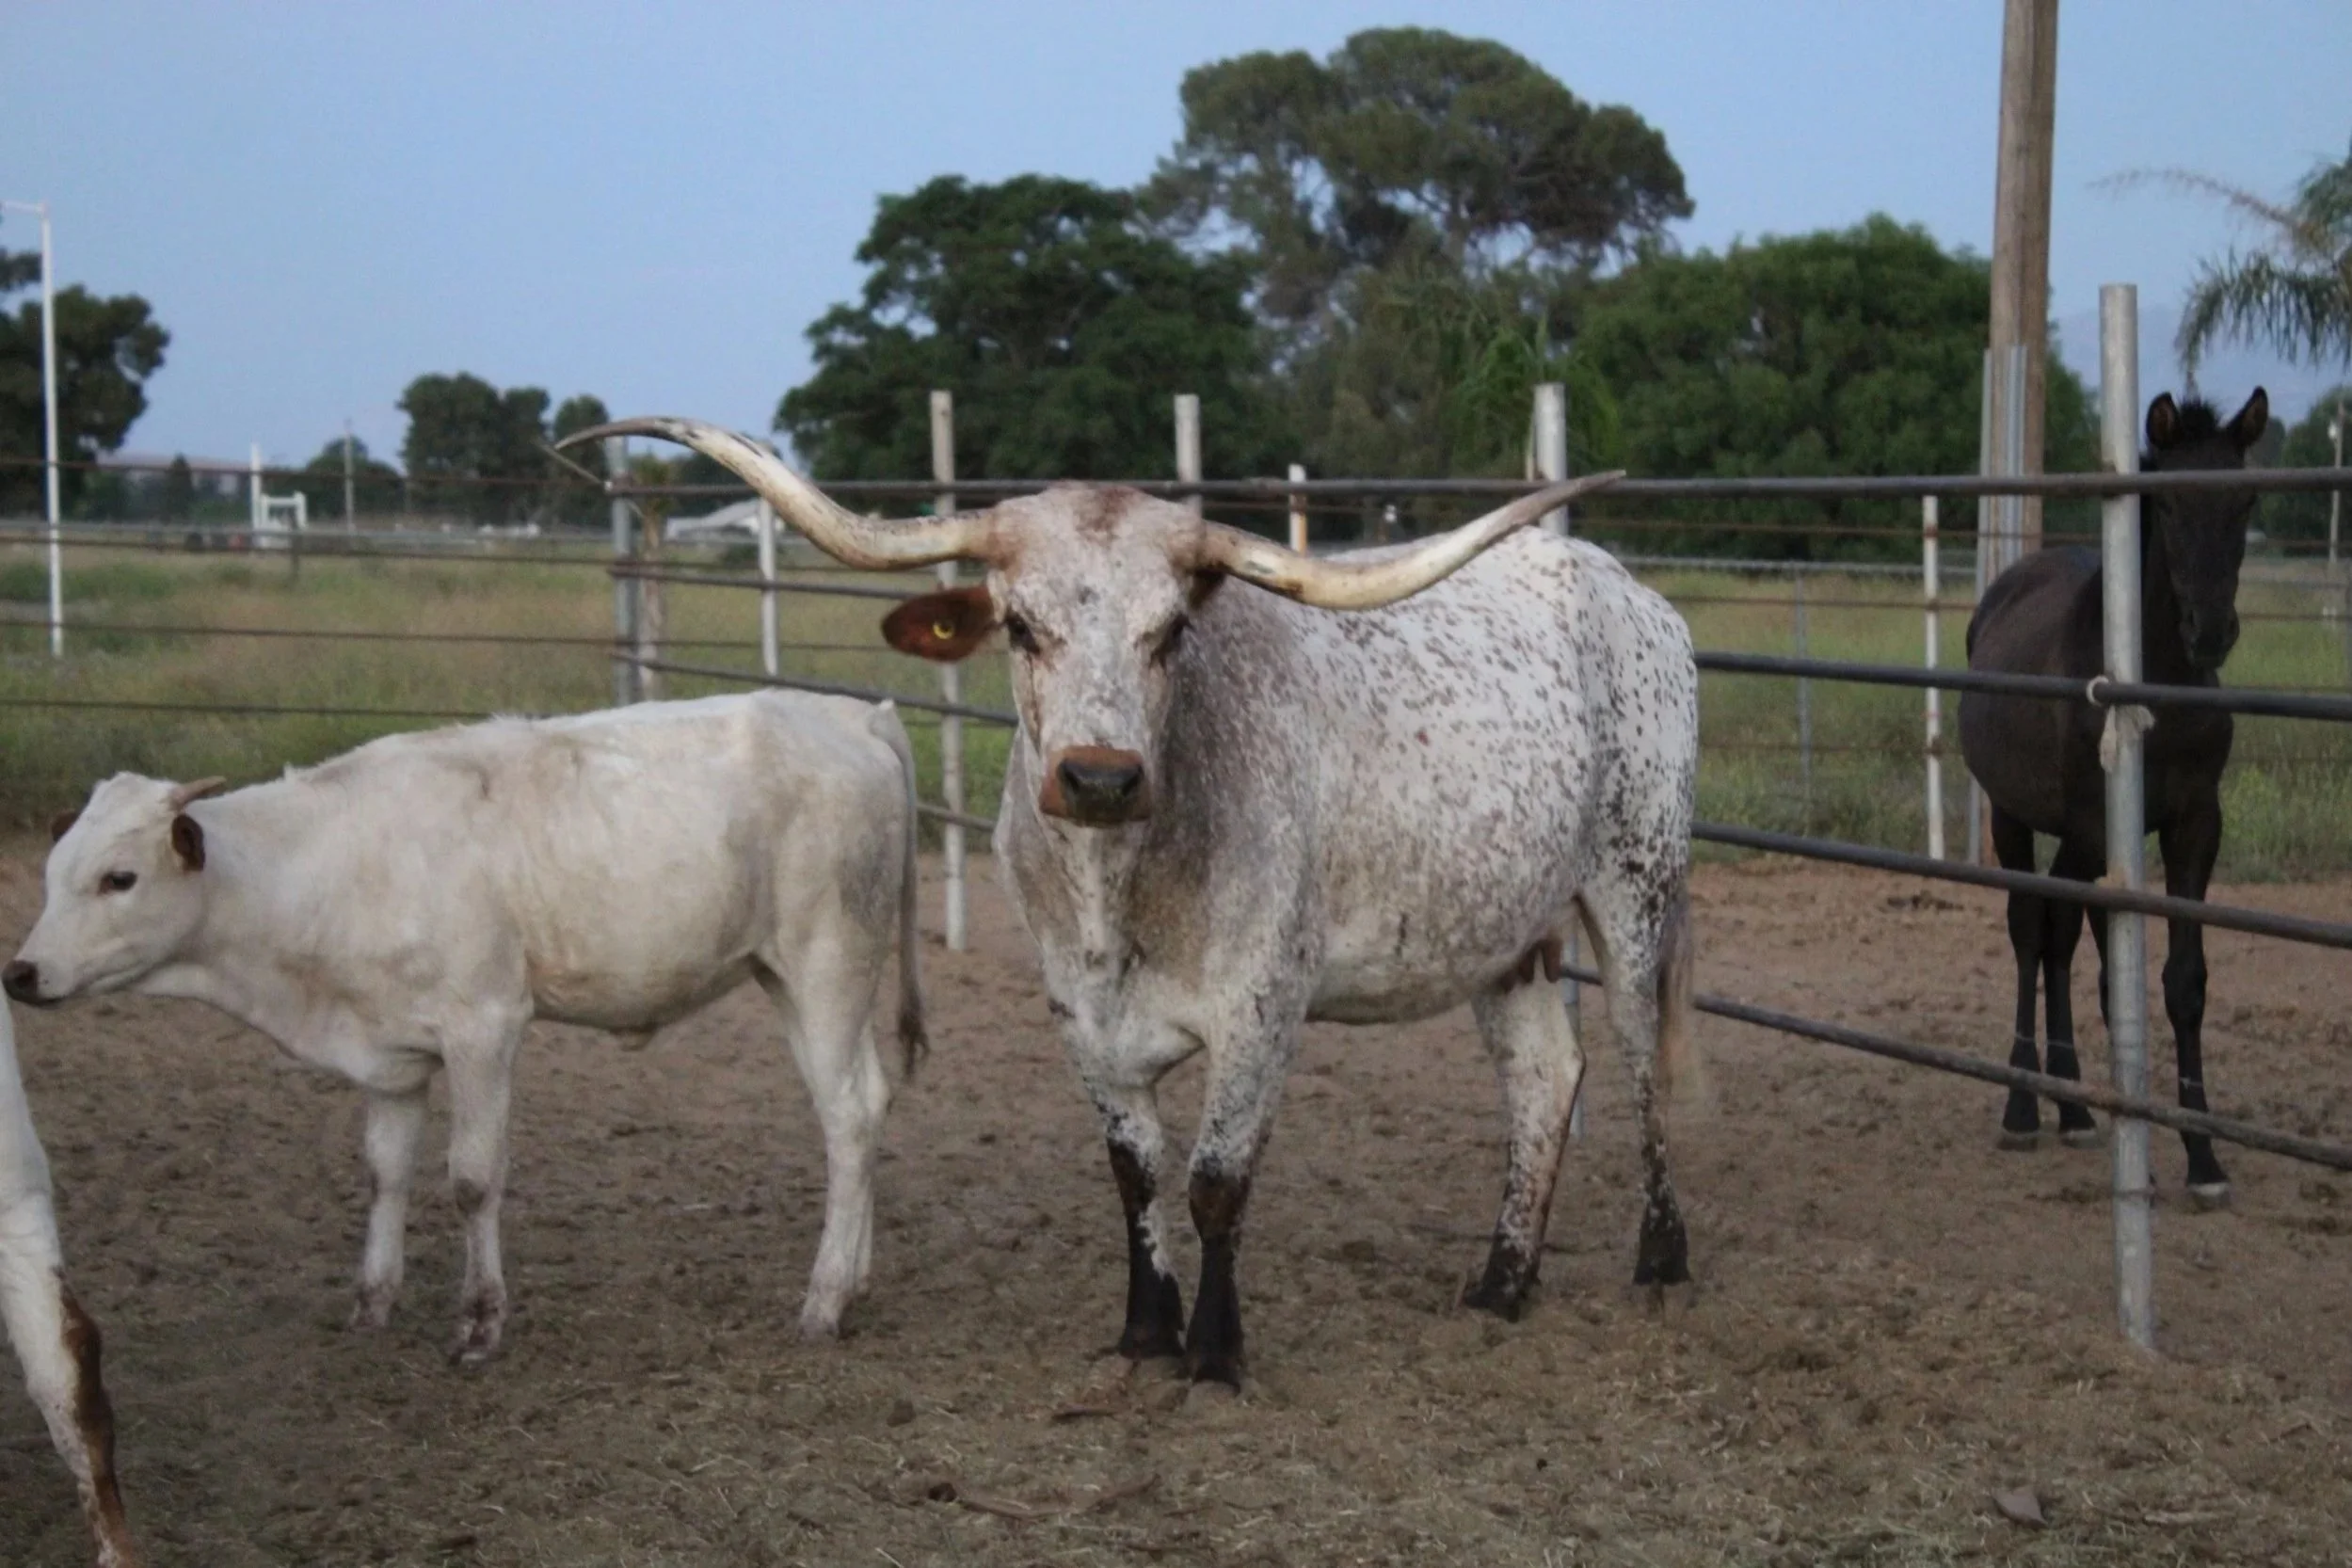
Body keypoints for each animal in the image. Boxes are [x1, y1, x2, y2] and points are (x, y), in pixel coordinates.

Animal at [4, 690, 926, 1365]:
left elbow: (473, 1178)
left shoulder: (484, 1027)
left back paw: (824, 1299)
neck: (330, 863)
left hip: (826, 962)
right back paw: (858, 1279)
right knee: (868, 1104)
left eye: (119, 877)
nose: (21, 973)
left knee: (847, 1115)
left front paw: (481, 1321)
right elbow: (385, 1174)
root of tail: (853, 713)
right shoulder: (392, 1057)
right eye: (53, 873)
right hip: (790, 979)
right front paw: (372, 1300)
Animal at [569, 419, 1701, 1388]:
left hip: (1636, 882)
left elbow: (1213, 1180)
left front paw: (1213, 1352)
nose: (1100, 777)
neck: (1116, 894)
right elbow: (1134, 1171)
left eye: (1167, 634)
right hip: (1505, 932)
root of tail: (1626, 592)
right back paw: (1502, 1283)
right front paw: (1145, 1331)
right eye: (1020, 627)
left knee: (1644, 1061)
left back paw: (1661, 1263)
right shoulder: (1079, 1012)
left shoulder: (1262, 1010)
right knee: (1544, 1076)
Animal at [1958, 387, 2268, 1208]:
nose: (2211, 631)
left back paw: (2071, 1108)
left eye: (2246, 500)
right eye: (2170, 503)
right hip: (2015, 818)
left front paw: (2201, 1158)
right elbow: (2093, 966)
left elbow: (2181, 983)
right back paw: (2024, 1107)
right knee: (2031, 929)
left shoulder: (2194, 825)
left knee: (2061, 932)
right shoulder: (2098, 829)